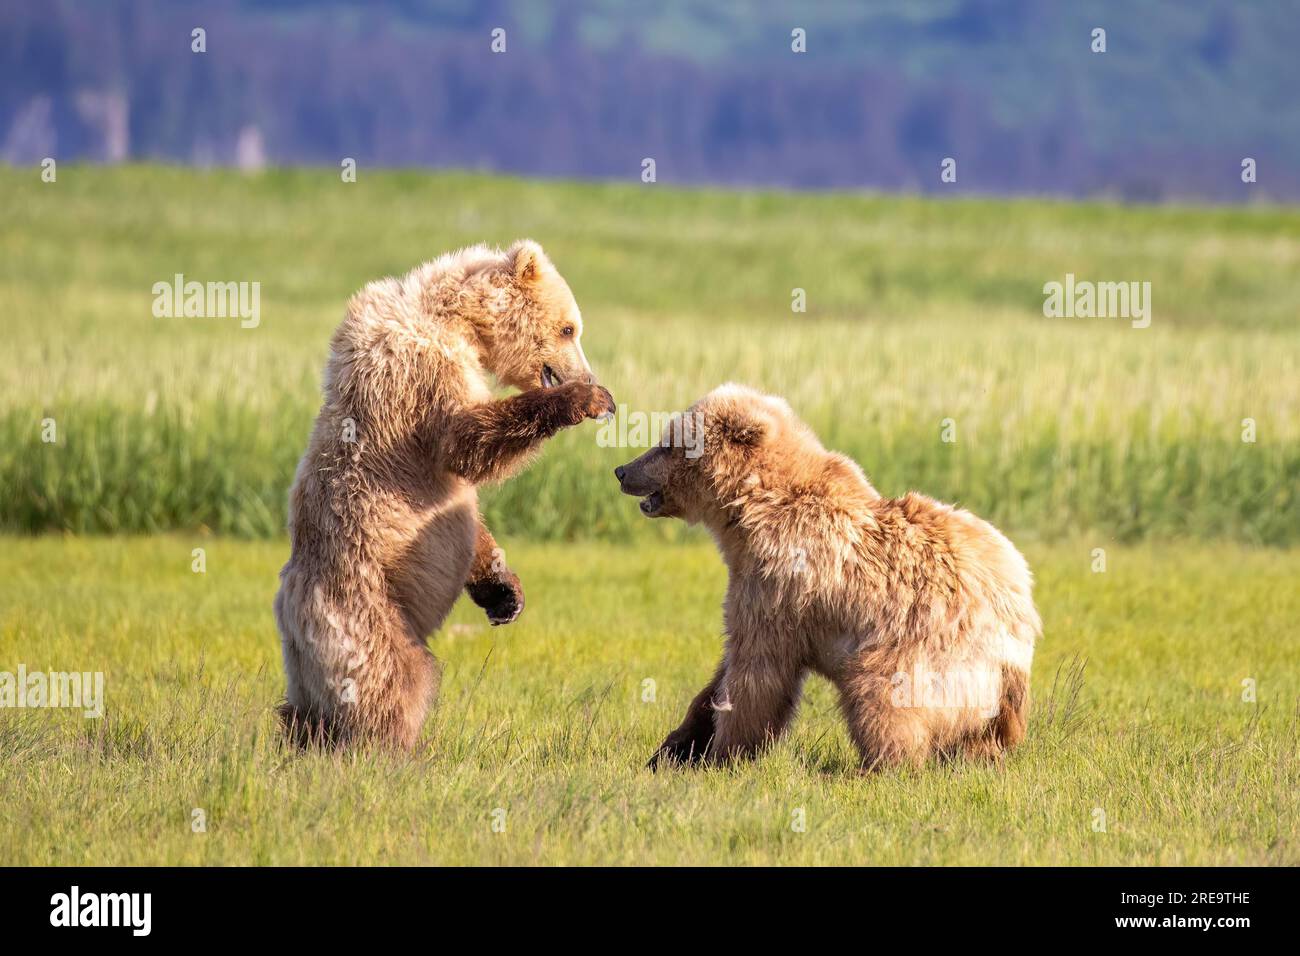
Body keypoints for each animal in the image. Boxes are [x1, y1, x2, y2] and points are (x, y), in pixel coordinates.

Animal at [273, 239, 613, 749]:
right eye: (568, 328)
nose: (586, 375)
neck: (457, 320)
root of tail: (290, 615)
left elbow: (469, 516)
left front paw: (505, 592)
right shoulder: (421, 370)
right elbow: (465, 441)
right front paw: (584, 401)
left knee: (303, 711)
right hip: (364, 611)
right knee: (394, 680)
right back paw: (390, 747)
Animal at [613, 385, 1040, 775]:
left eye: (668, 443)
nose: (622, 470)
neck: (748, 510)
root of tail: (1019, 627)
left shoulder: (778, 583)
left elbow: (758, 675)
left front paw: (724, 753)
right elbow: (723, 671)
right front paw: (675, 748)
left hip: (917, 643)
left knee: (882, 699)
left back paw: (878, 767)